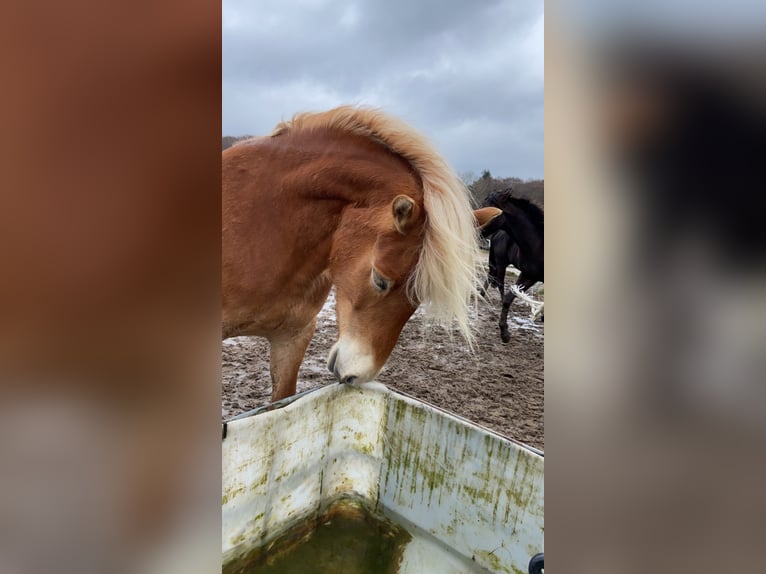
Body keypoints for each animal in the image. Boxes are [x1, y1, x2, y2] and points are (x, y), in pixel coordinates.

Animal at [484, 191, 544, 342]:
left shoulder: (529, 275)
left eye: (491, 209)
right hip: (501, 263)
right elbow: (508, 298)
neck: (539, 244)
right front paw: (504, 333)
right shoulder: (529, 275)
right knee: (499, 282)